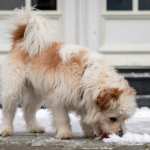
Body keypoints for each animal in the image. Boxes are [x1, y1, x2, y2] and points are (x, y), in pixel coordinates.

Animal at [0, 7, 137, 139]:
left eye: (125, 118)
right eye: (113, 118)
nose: (121, 135)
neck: (84, 75)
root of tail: (20, 39)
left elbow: (85, 119)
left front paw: (89, 132)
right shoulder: (58, 99)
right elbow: (63, 119)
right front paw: (65, 134)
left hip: (37, 90)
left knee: (27, 108)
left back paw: (34, 128)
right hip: (14, 86)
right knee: (8, 110)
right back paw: (6, 130)